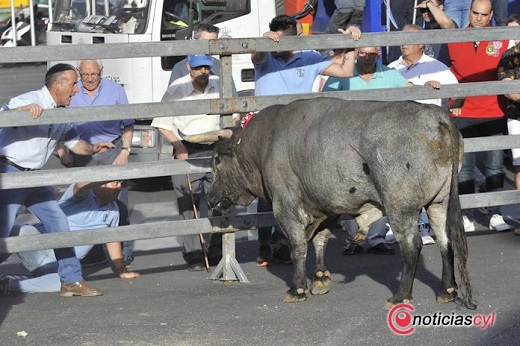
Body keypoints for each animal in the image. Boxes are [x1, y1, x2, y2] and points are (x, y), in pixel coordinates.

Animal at [183, 98, 476, 310]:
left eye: (217, 159)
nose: (211, 198)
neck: (264, 142)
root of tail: (436, 116)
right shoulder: (326, 205)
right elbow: (320, 239)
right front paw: (321, 278)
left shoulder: (285, 204)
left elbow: (298, 246)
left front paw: (298, 288)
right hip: (439, 201)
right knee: (445, 241)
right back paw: (447, 290)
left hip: (400, 205)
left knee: (411, 246)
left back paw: (400, 295)